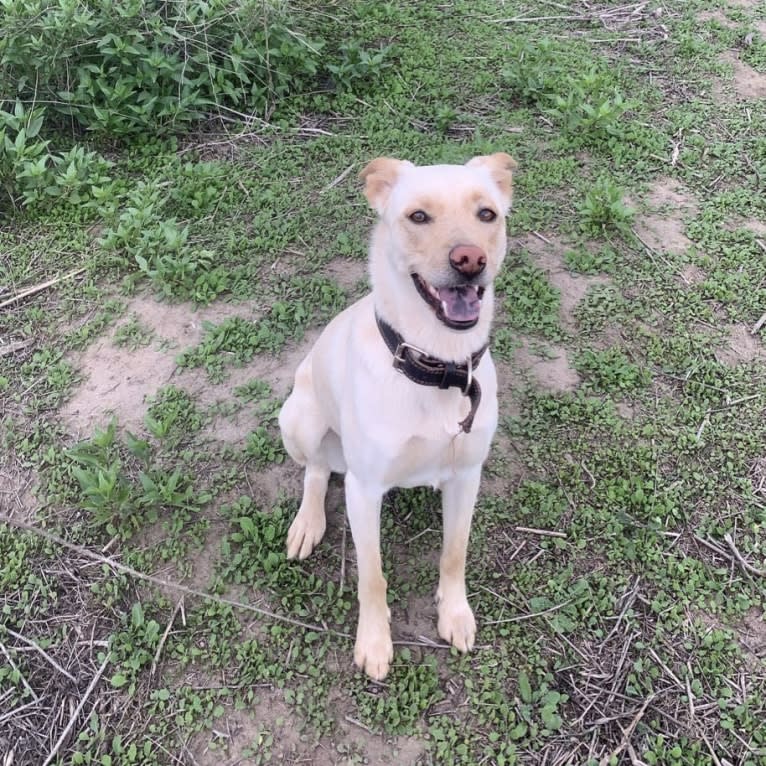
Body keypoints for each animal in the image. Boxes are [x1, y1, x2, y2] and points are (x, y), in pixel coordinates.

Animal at [280, 153, 520, 680]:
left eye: (487, 214)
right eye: (418, 216)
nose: (470, 260)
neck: (438, 365)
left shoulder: (467, 474)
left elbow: (454, 553)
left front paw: (455, 613)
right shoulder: (365, 489)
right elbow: (372, 576)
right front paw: (374, 641)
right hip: (300, 417)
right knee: (315, 470)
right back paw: (308, 522)